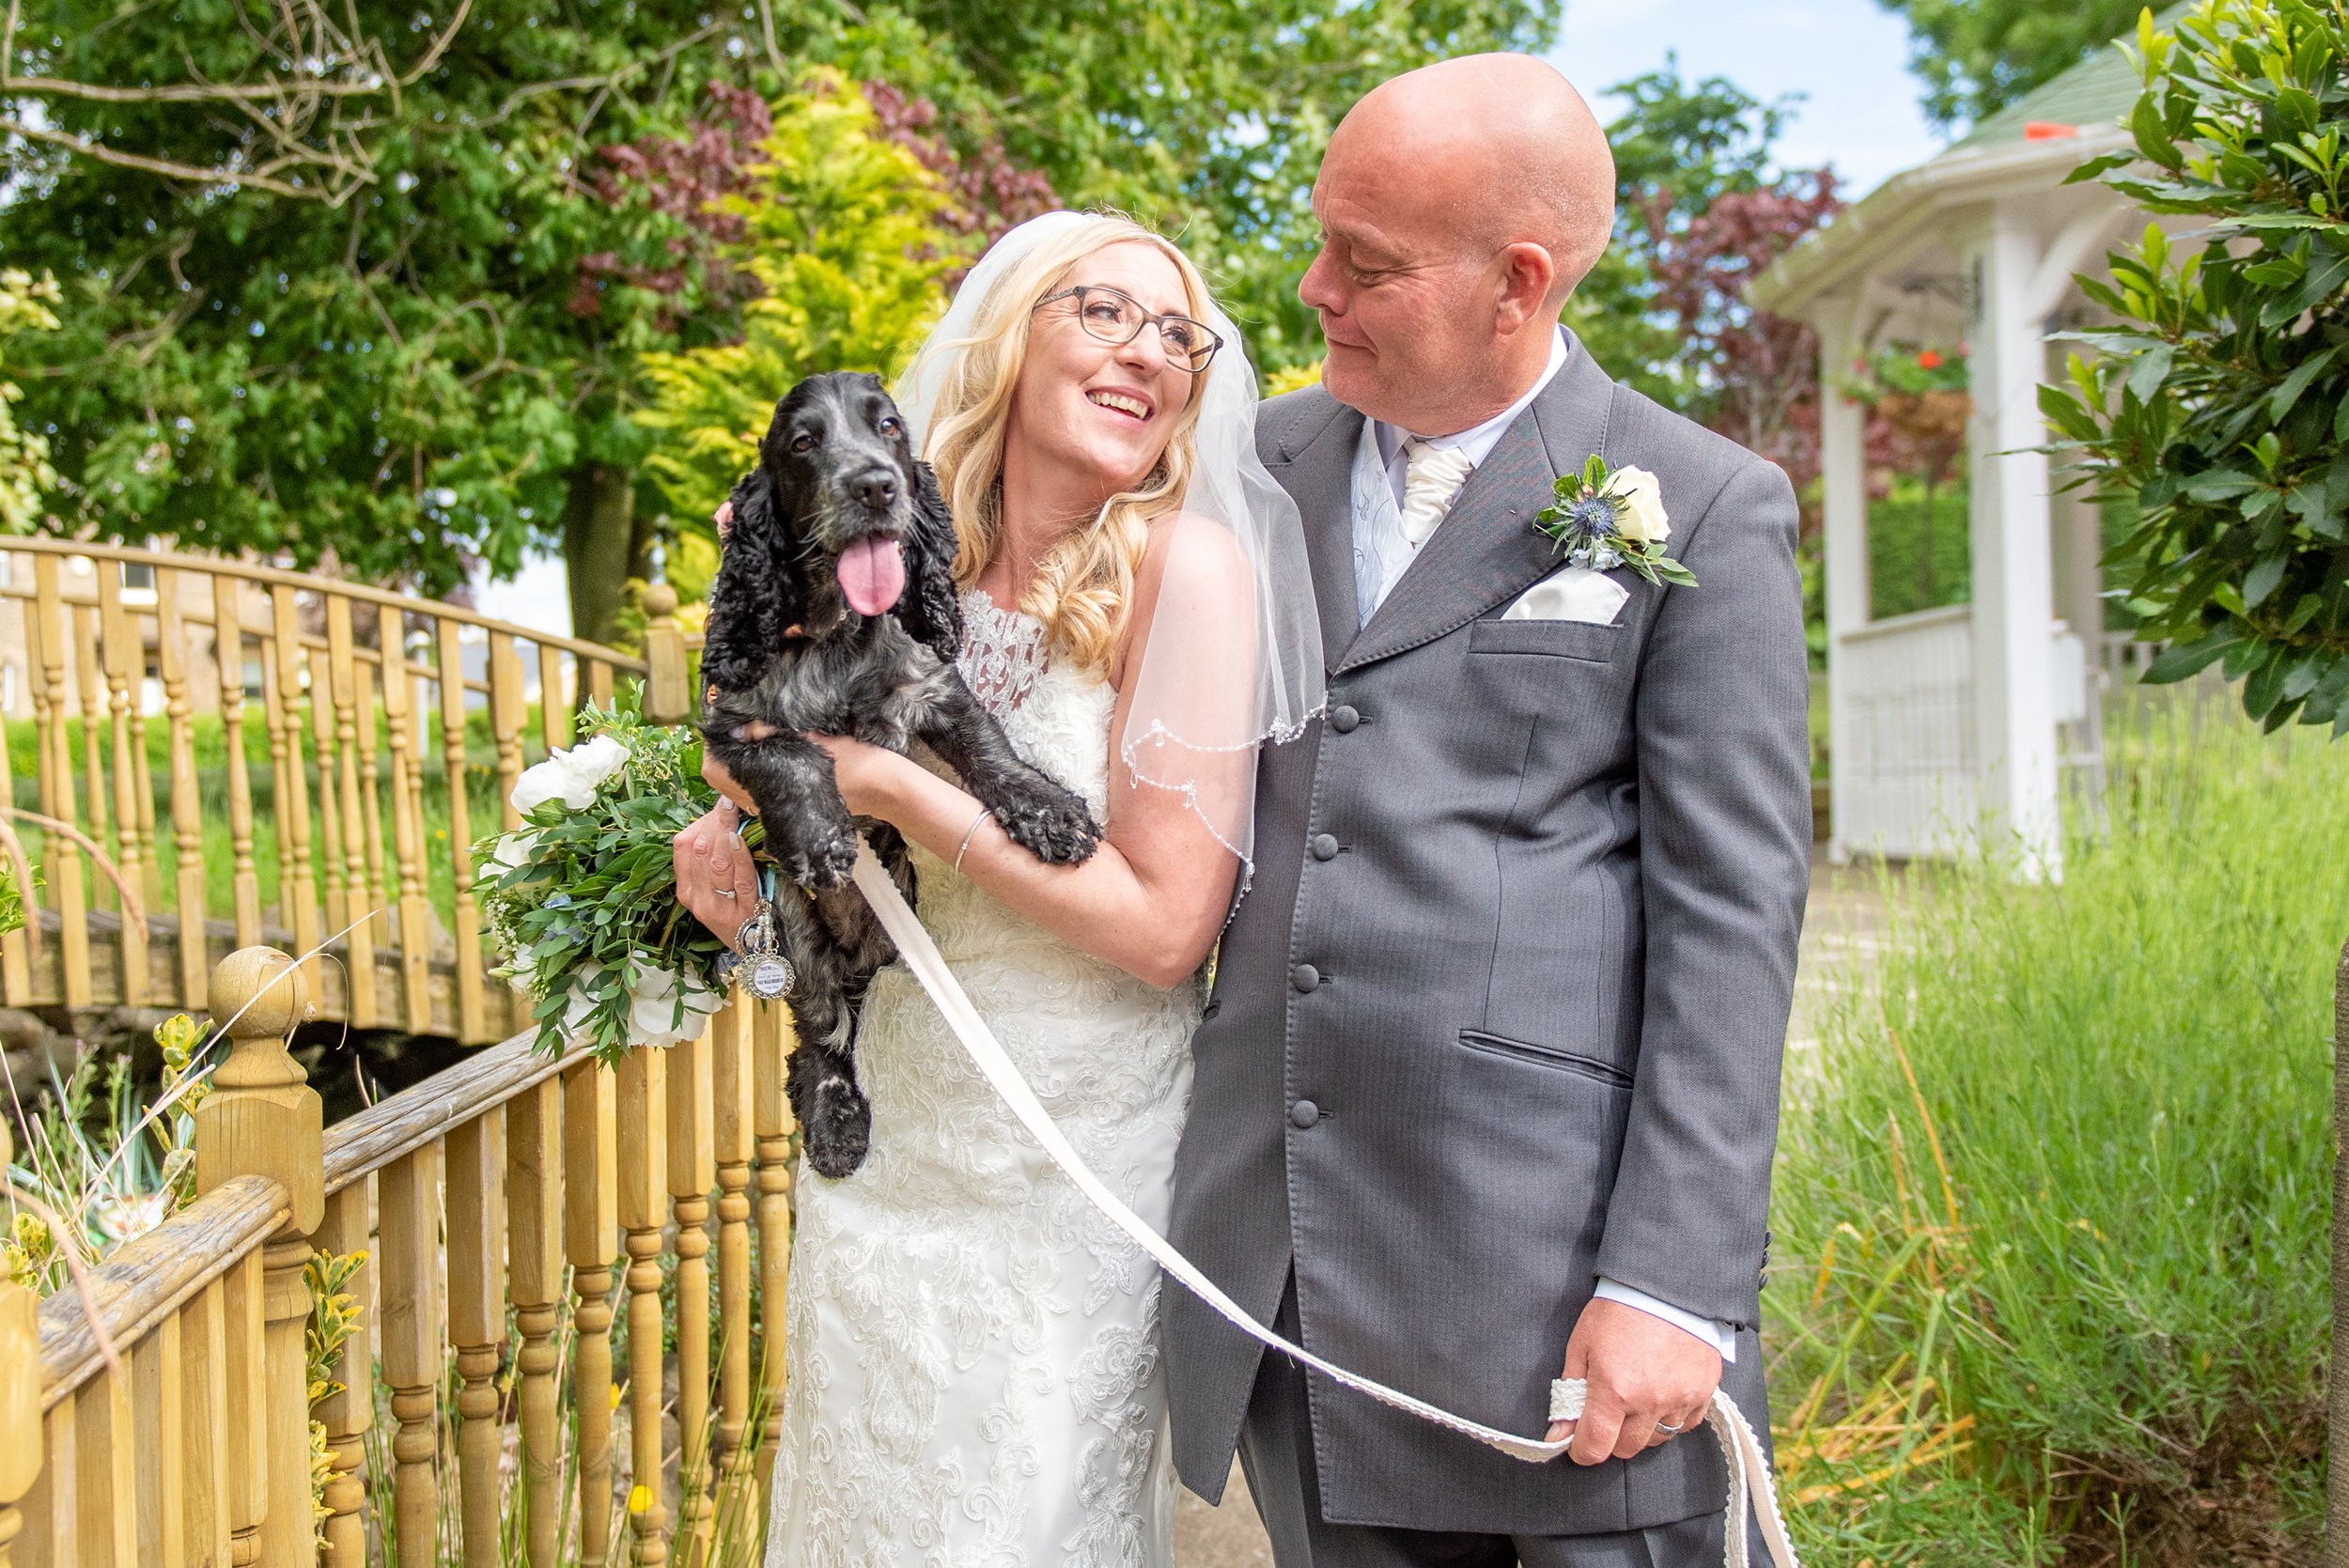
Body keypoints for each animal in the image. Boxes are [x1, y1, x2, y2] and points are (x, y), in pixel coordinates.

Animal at [695, 368, 1099, 1173]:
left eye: (887, 428)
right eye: (804, 442)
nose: (878, 485)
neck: (835, 635)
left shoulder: (933, 687)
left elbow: (991, 752)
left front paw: (1051, 812)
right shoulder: (732, 729)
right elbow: (792, 755)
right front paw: (822, 835)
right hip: (791, 929)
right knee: (818, 1034)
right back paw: (835, 1120)